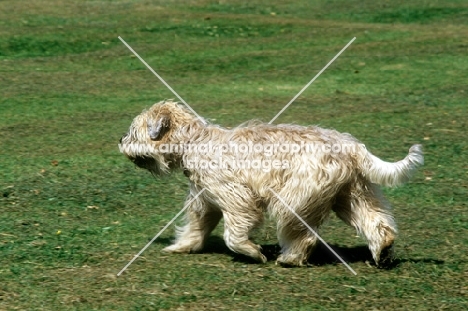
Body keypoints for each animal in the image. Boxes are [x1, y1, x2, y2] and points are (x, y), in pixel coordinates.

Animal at [119, 100, 422, 268]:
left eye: (134, 131)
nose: (120, 140)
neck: (194, 140)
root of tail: (350, 145)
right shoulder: (205, 201)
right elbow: (196, 226)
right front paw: (182, 246)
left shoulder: (237, 200)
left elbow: (234, 234)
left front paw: (252, 252)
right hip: (352, 197)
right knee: (377, 224)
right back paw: (382, 250)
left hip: (295, 201)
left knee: (302, 236)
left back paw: (289, 259)